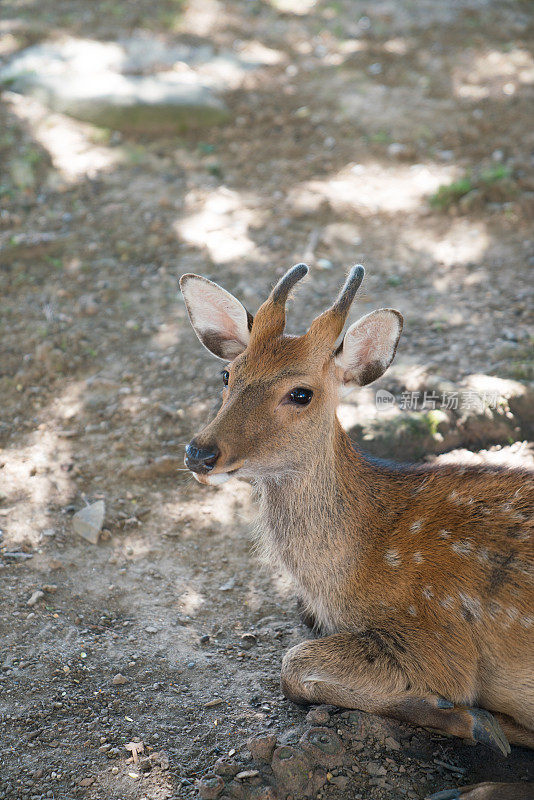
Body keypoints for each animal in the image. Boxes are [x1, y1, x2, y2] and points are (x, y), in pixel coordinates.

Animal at [181, 264, 534, 800]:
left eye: (301, 393)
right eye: (227, 375)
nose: (200, 453)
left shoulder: (438, 639)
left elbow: (293, 665)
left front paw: (476, 721)